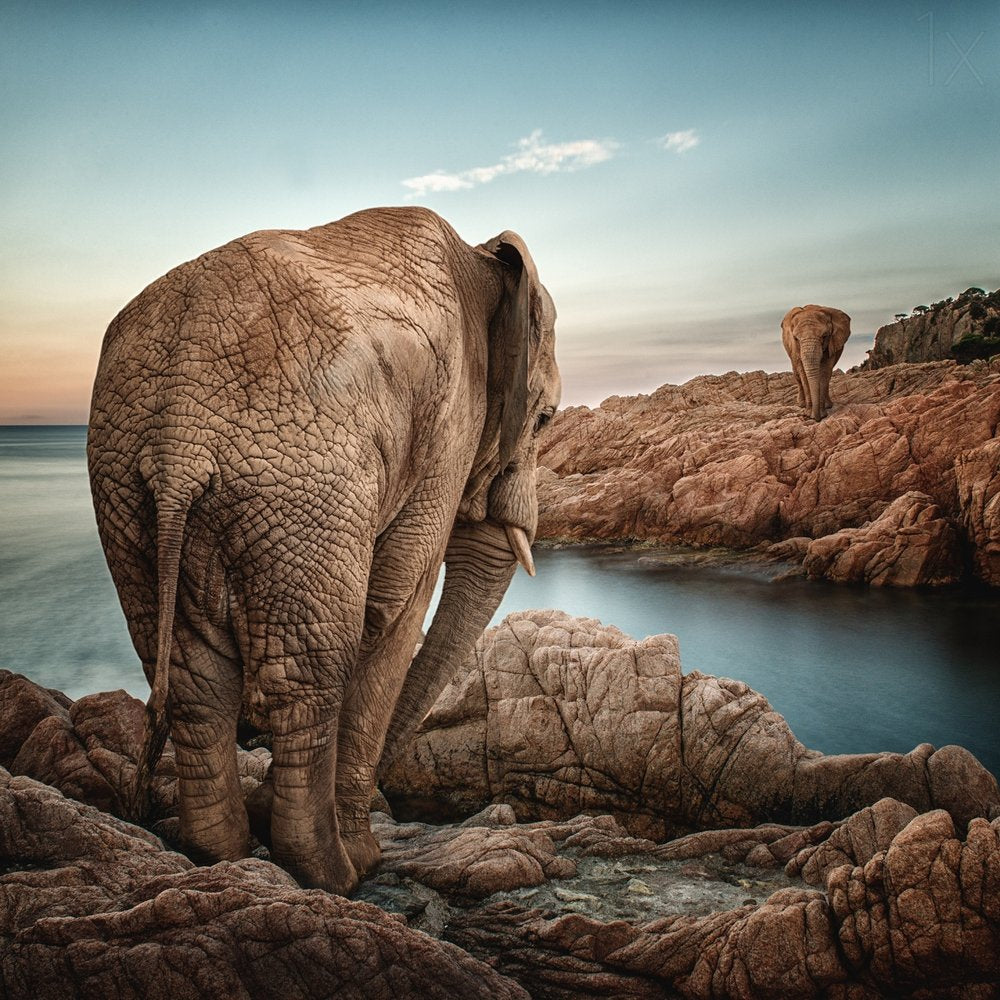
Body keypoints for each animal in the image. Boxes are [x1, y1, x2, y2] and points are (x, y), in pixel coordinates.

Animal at [87, 206, 560, 896]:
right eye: (546, 419)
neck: (483, 261)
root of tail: (180, 441)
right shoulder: (449, 426)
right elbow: (394, 603)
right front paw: (367, 857)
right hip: (302, 486)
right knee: (311, 674)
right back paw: (332, 873)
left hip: (127, 491)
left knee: (192, 679)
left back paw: (220, 854)